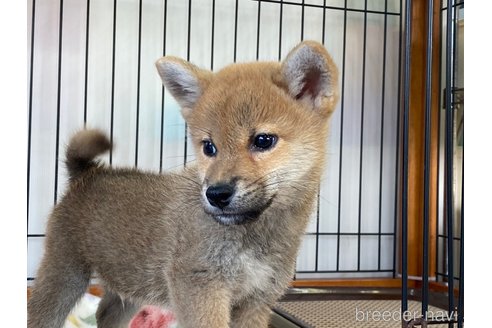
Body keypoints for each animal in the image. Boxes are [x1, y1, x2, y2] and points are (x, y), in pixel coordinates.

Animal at [26, 41, 338, 328]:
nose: (216, 194)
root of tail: (87, 173)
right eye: (209, 147)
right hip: (66, 271)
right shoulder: (201, 288)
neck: (255, 235)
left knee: (106, 313)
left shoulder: (256, 301)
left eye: (263, 140)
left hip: (130, 279)